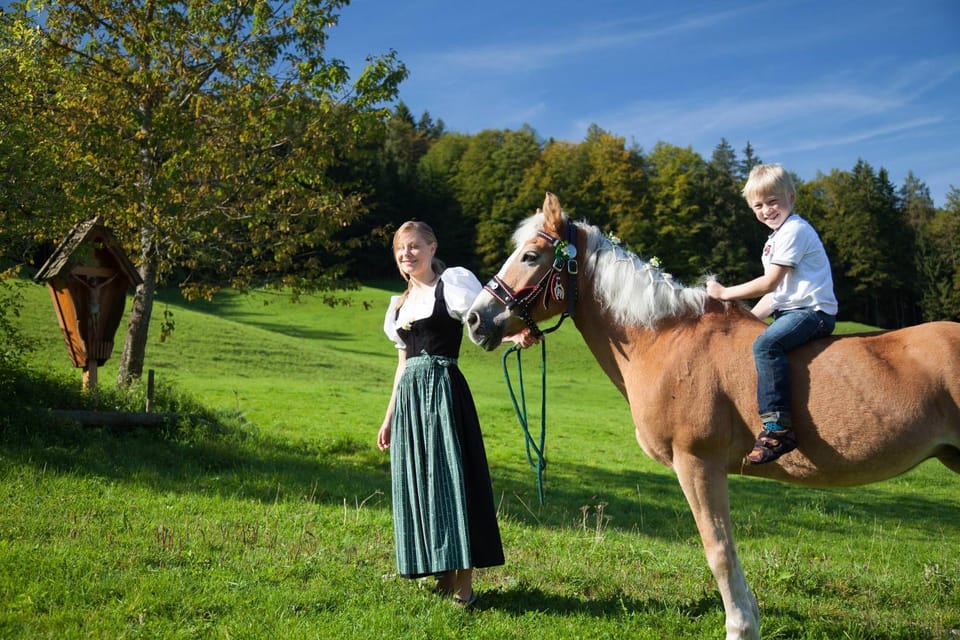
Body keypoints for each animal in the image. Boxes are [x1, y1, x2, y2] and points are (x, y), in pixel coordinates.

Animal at [465, 192, 960, 640]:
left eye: (530, 255)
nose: (474, 319)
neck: (665, 337)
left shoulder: (697, 463)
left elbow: (718, 549)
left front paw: (741, 625)